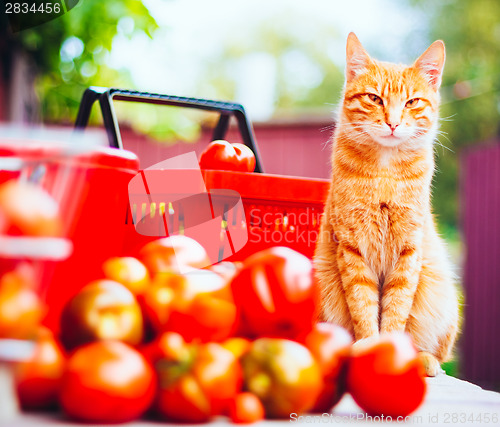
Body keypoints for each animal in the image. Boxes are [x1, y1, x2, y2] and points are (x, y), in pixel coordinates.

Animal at [314, 31, 458, 376]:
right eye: (374, 99)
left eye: (411, 102)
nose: (393, 123)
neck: (385, 172)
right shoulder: (351, 248)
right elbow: (364, 304)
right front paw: (368, 344)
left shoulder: (408, 251)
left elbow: (396, 307)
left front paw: (392, 350)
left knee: (437, 352)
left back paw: (425, 360)